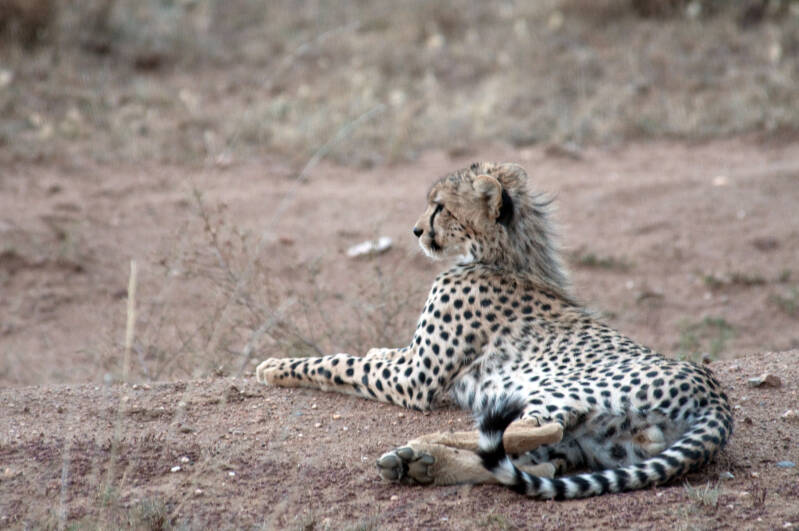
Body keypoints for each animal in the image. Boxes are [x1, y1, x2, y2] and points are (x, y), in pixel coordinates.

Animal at [256, 161, 733, 499]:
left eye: (440, 207)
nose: (416, 230)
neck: (504, 256)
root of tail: (714, 391)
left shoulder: (413, 380)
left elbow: (337, 362)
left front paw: (275, 366)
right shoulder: (412, 362)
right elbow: (377, 353)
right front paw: (372, 351)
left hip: (558, 393)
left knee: (532, 430)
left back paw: (425, 443)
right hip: (601, 441)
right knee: (535, 461)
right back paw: (420, 463)